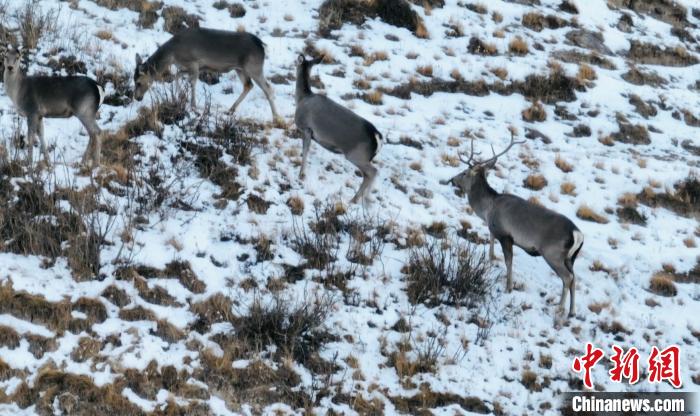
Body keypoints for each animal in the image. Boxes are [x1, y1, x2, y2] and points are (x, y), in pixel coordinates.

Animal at [133, 26, 280, 122]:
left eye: (138, 82)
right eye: (133, 80)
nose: (137, 97)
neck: (173, 55)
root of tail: (262, 45)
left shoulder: (193, 63)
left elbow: (192, 83)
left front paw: (194, 108)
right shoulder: (190, 67)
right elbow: (177, 76)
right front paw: (180, 96)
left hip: (254, 67)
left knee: (268, 88)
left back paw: (276, 117)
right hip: (240, 69)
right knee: (248, 85)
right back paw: (230, 110)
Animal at [296, 54, 382, 204]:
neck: (302, 98)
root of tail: (377, 137)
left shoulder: (306, 128)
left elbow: (305, 151)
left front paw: (301, 175)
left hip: (357, 155)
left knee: (373, 172)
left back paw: (358, 199)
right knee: (368, 174)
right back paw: (361, 198)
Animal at [448, 133, 584, 318]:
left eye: (464, 172)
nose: (452, 179)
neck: (487, 209)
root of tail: (577, 234)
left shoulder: (506, 235)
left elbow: (509, 261)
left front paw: (508, 287)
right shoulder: (495, 230)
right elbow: (492, 241)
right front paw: (491, 259)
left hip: (553, 253)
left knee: (567, 278)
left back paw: (560, 309)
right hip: (571, 257)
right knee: (574, 278)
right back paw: (572, 311)